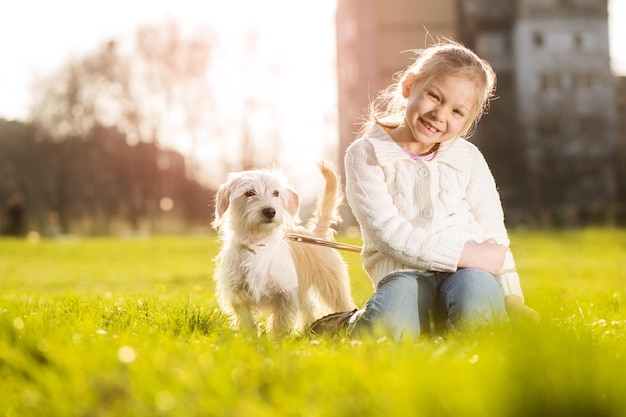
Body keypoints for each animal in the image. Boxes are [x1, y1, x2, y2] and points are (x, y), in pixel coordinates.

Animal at [211, 161, 354, 334]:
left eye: (276, 193)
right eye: (249, 193)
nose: (270, 211)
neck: (258, 243)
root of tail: (316, 233)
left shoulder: (285, 296)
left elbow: (279, 324)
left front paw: (275, 340)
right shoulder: (238, 297)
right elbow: (247, 321)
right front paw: (250, 338)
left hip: (333, 289)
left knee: (344, 305)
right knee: (309, 307)